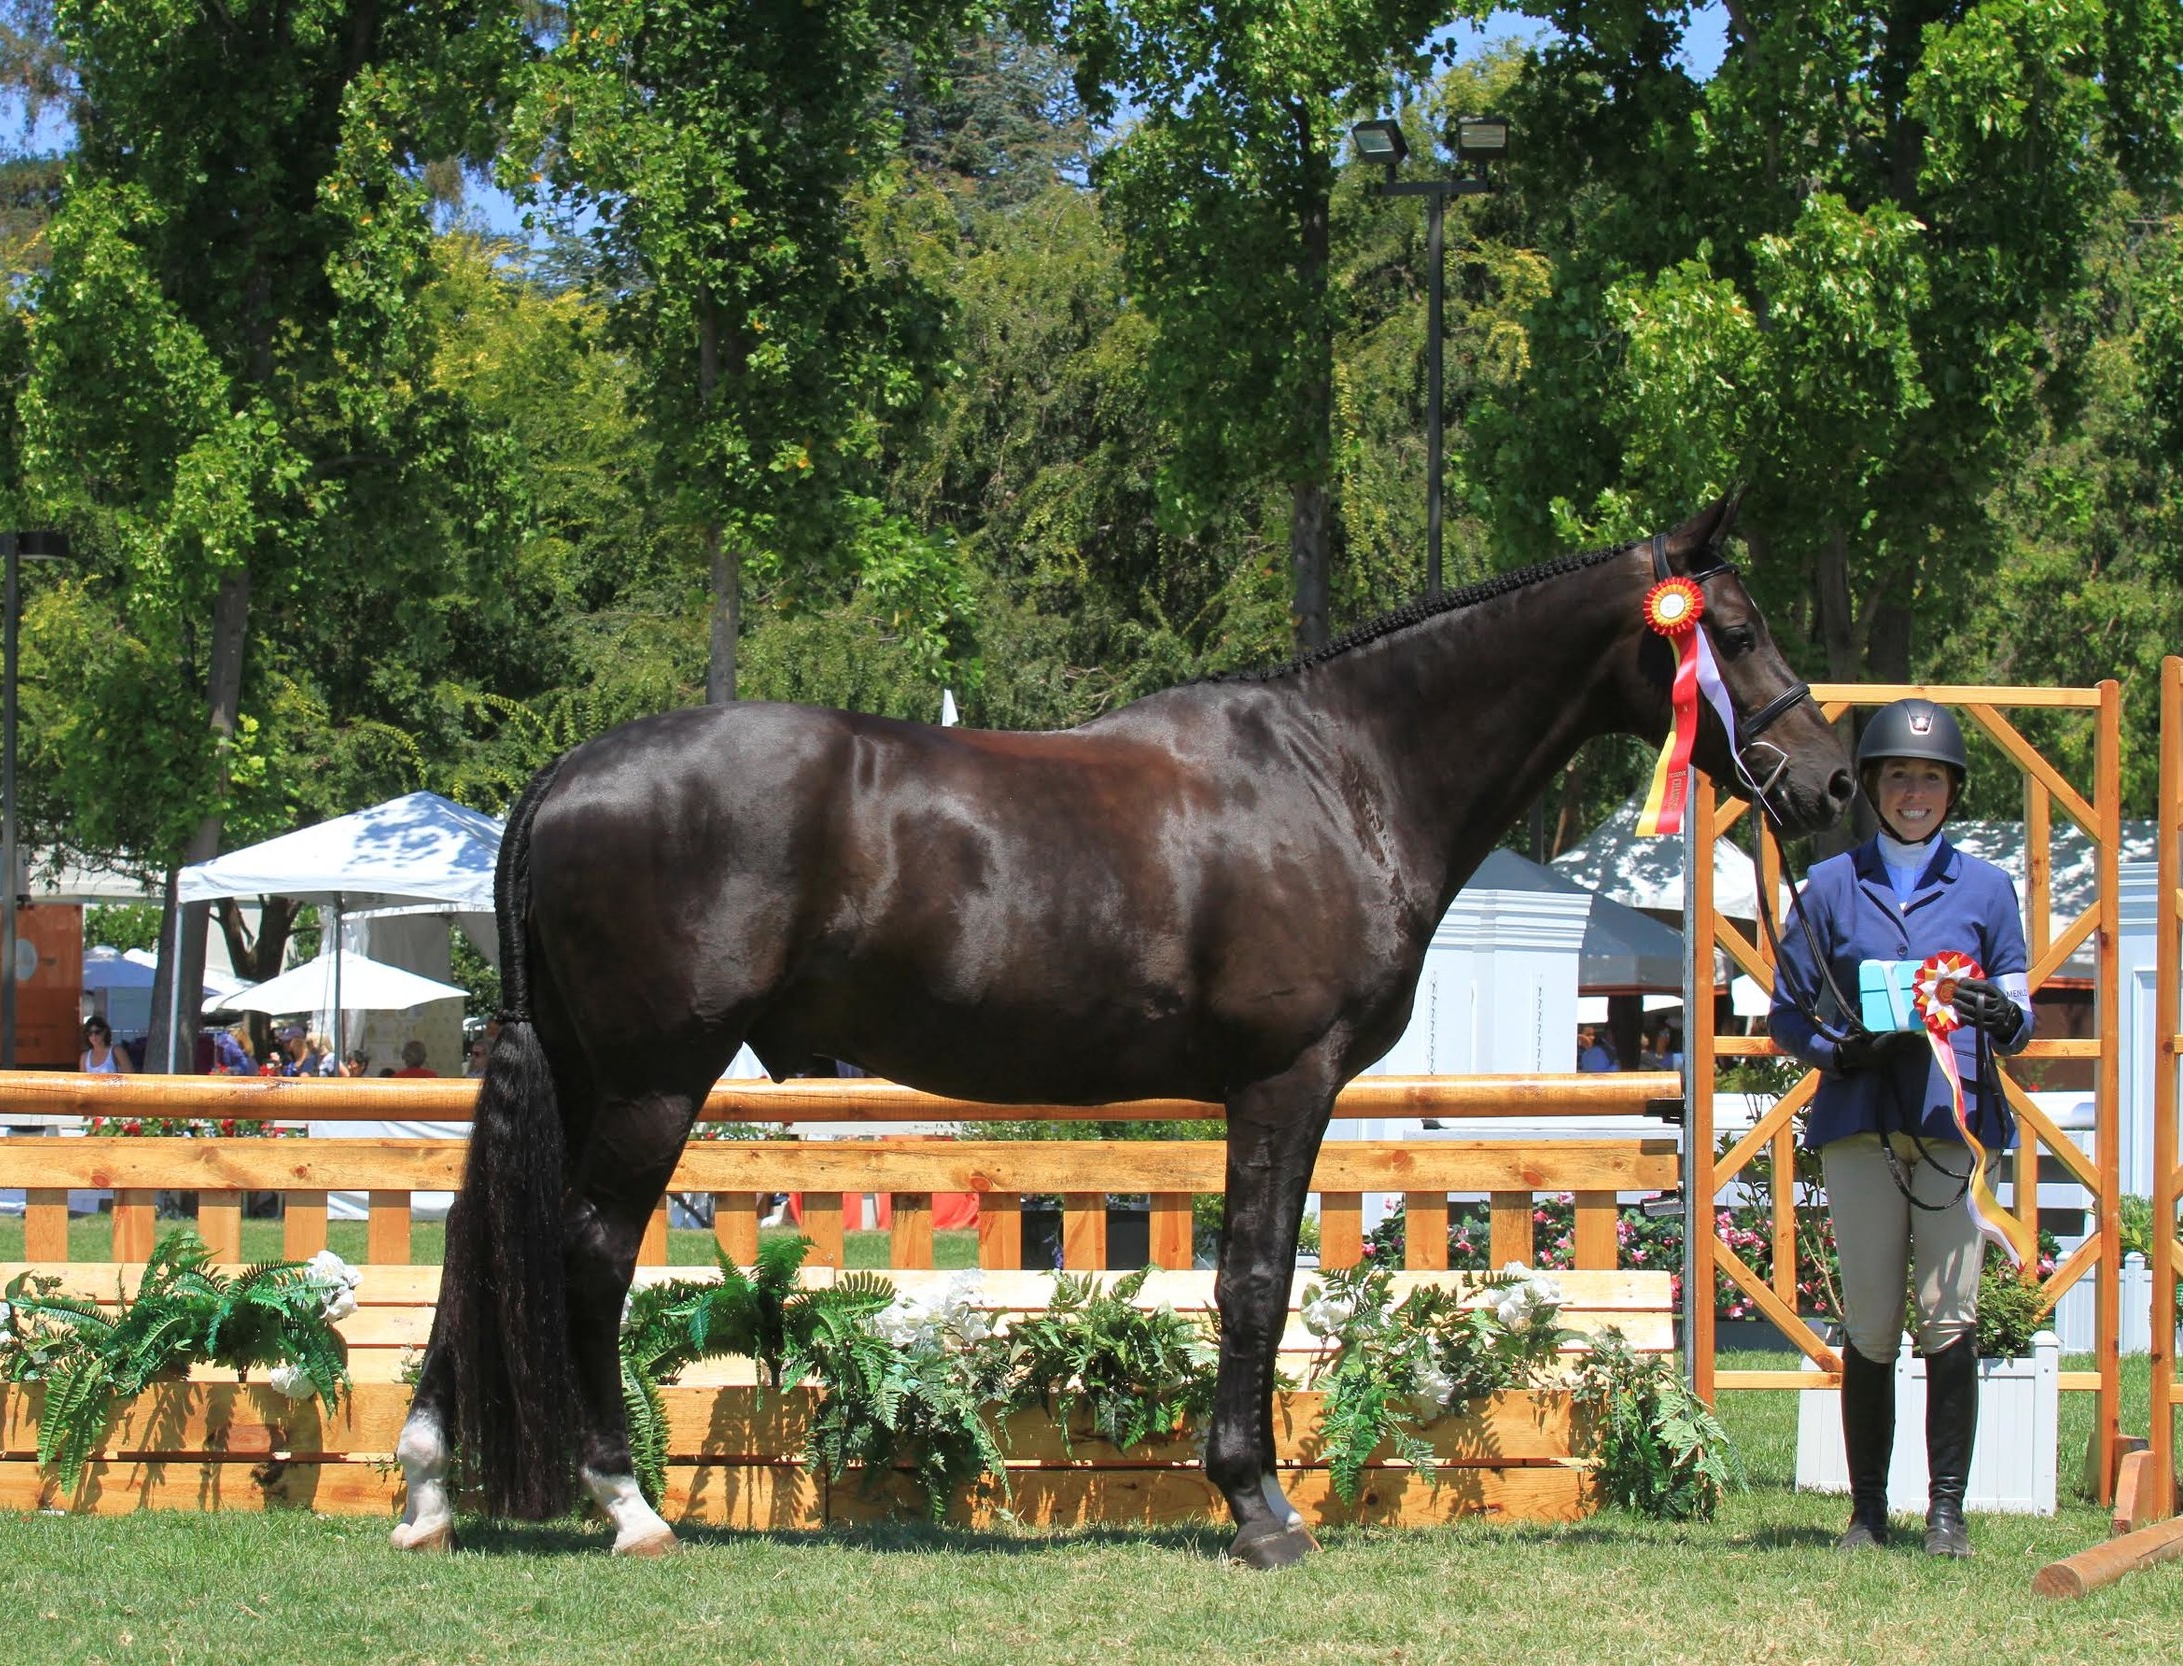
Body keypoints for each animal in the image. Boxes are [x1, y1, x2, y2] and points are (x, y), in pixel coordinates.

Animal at [388, 502, 1842, 1572]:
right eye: (1733, 628)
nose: (1828, 783)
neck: (1340, 770)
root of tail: (566, 776)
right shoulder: (1283, 1081)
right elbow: (1251, 1281)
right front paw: (1257, 1507)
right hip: (652, 1080)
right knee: (586, 1252)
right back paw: (626, 1504)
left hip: (586, 1073)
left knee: (483, 1241)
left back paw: (427, 1489)